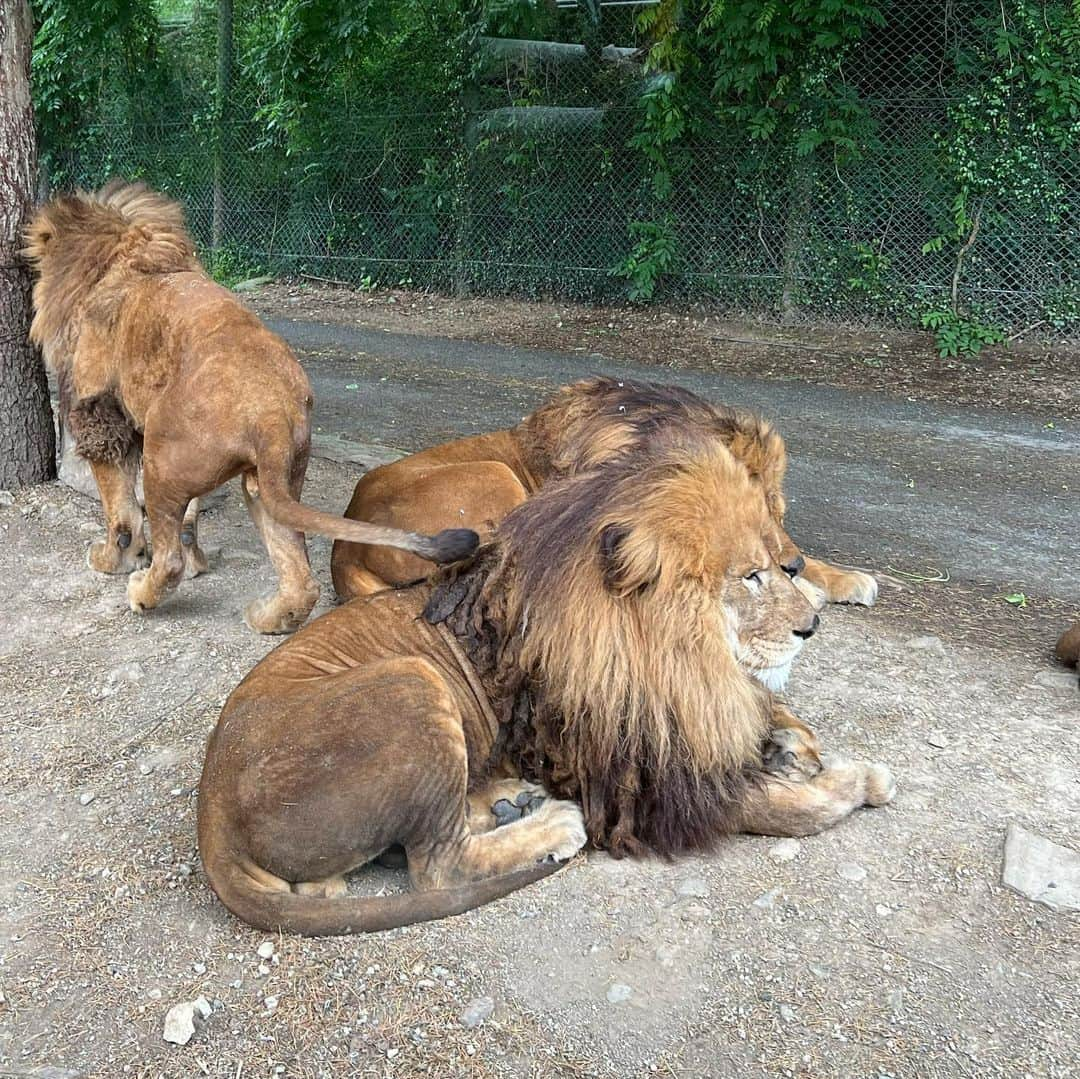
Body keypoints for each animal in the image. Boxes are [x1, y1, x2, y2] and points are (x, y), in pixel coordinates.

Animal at [21, 178, 475, 630]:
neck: (126, 254)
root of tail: (270, 412)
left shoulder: (97, 416)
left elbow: (121, 512)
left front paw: (112, 559)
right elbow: (180, 516)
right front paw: (193, 557)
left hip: (162, 461)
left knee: (169, 559)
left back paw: (143, 594)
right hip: (274, 480)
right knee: (301, 579)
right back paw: (268, 616)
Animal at [198, 429, 889, 937]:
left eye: (783, 565)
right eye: (750, 575)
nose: (812, 626)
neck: (676, 657)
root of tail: (212, 806)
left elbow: (763, 709)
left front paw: (792, 745)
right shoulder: (624, 778)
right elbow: (780, 808)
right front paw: (852, 782)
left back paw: (508, 801)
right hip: (412, 680)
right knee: (438, 868)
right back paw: (550, 824)